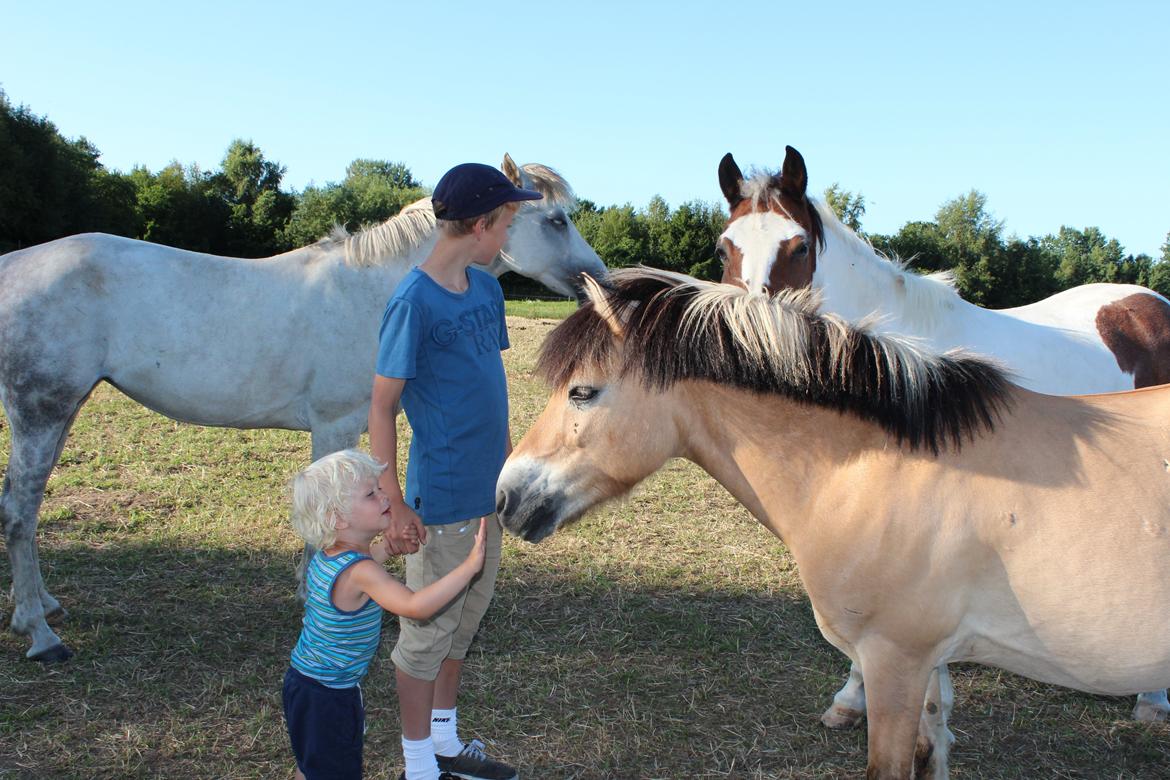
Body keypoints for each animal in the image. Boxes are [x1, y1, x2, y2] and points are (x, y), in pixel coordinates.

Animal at [0, 155, 603, 664]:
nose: (598, 279)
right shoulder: (334, 425)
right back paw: (41, 634)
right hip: (41, 411)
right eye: (555, 220)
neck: (373, 292)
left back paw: (45, 606)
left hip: (63, 411)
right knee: (19, 512)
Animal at [498, 270, 1170, 780]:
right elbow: (934, 746)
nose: (505, 496)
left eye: (582, 392)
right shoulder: (930, 667)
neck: (886, 468)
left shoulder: (895, 661)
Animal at [716, 146, 1170, 725]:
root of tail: (1151, 304)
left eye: (797, 247)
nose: (741, 338)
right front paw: (852, 701)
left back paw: (1152, 700)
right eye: (724, 247)